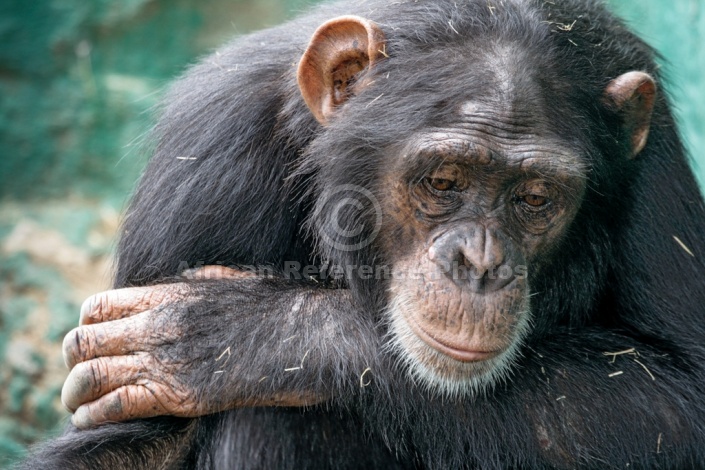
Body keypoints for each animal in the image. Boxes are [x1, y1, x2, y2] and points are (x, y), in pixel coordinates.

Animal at [22, 0, 704, 468]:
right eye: (442, 181)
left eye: (535, 199)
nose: (481, 262)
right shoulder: (210, 152)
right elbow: (136, 444)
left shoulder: (656, 154)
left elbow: (681, 394)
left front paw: (231, 334)